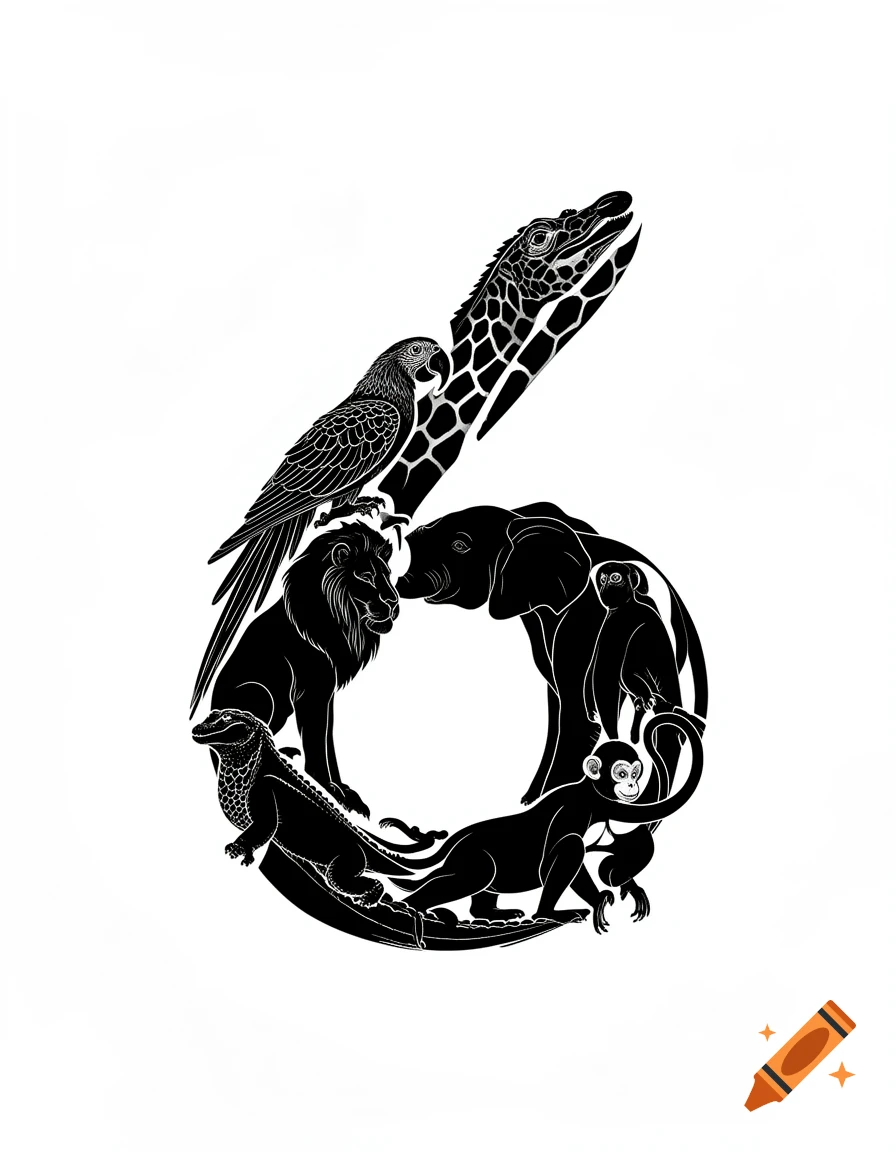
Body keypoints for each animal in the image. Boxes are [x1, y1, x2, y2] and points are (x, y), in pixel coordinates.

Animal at [209, 521, 399, 817]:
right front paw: (329, 790)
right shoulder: (313, 694)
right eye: (366, 576)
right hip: (261, 693)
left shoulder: (327, 695)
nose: (394, 601)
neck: (342, 622)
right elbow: (317, 743)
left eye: (388, 575)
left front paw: (344, 791)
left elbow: (328, 741)